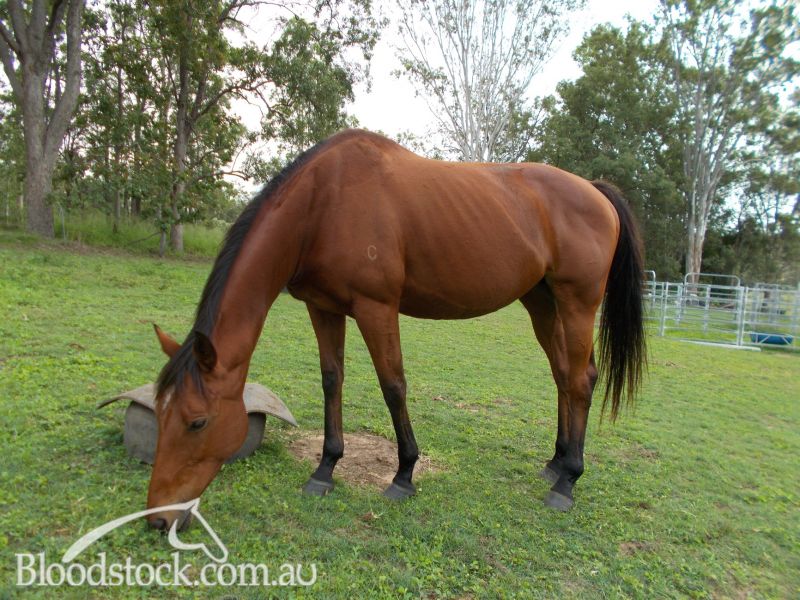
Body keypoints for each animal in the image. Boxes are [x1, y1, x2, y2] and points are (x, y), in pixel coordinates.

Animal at [145, 129, 646, 529]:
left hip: (577, 303)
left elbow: (393, 386)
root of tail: (595, 190)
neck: (323, 203)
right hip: (542, 303)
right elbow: (332, 381)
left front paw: (404, 475)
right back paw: (556, 462)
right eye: (161, 416)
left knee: (579, 381)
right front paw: (325, 469)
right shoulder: (323, 309)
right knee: (563, 375)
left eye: (196, 421)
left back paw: (568, 481)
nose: (157, 517)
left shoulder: (376, 309)